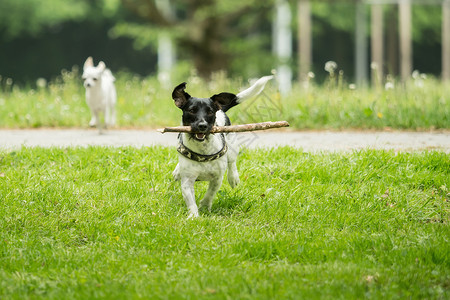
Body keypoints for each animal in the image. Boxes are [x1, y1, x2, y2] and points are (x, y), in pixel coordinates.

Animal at [171, 75, 272, 218]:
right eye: (191, 110)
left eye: (210, 112)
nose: (202, 125)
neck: (203, 150)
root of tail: (221, 110)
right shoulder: (187, 181)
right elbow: (191, 201)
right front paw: (194, 216)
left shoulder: (217, 178)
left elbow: (210, 193)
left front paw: (205, 206)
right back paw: (177, 170)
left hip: (232, 145)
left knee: (232, 162)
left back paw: (233, 177)